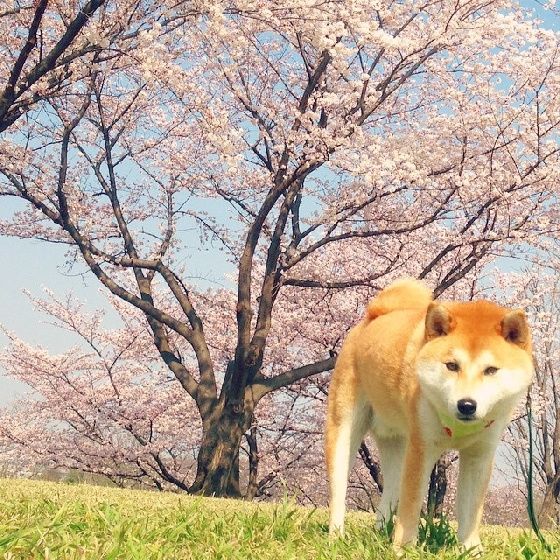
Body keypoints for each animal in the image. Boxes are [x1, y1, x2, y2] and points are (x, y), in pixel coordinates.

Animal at [328, 278, 532, 548]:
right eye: (452, 366)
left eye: (491, 370)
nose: (467, 405)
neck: (459, 429)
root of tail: (376, 314)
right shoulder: (422, 449)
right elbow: (411, 508)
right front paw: (403, 549)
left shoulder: (480, 455)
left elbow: (470, 513)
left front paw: (471, 549)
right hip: (345, 429)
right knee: (339, 489)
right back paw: (336, 536)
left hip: (398, 445)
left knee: (389, 494)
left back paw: (381, 534)